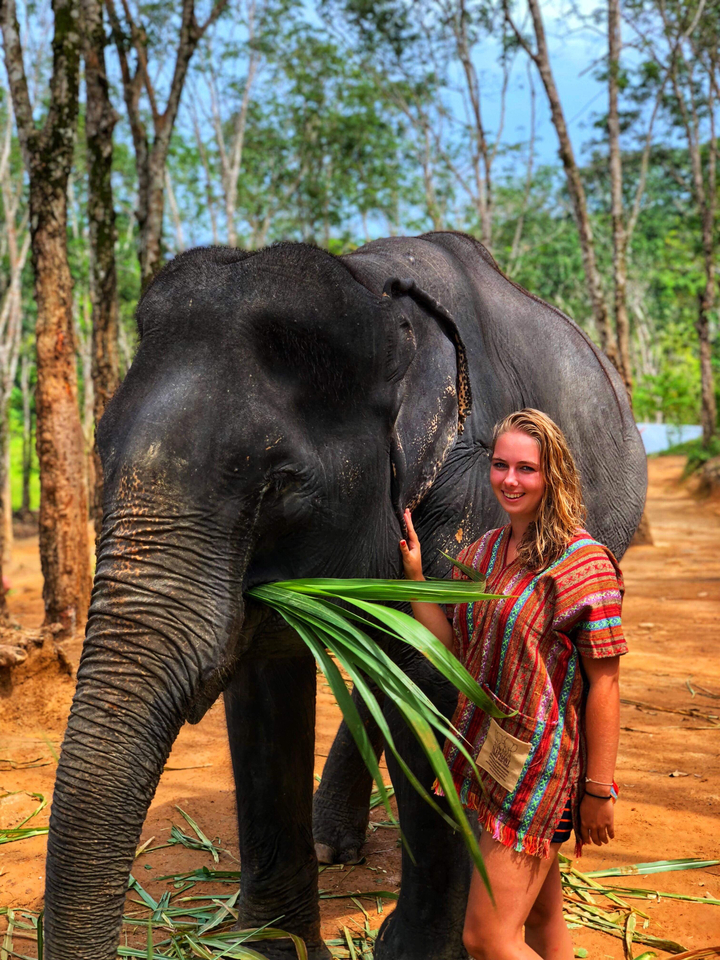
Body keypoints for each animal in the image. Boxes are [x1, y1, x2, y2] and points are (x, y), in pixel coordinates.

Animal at [43, 231, 646, 960]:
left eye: (278, 483)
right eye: (100, 454)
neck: (374, 291)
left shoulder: (473, 495)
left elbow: (442, 680)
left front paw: (409, 952)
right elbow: (268, 685)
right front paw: (276, 949)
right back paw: (336, 846)